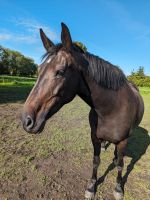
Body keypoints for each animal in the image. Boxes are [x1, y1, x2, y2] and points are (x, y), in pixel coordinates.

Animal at [21, 22, 144, 199]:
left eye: (60, 71)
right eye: (38, 70)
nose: (27, 120)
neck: (111, 109)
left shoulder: (123, 141)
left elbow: (121, 165)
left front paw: (118, 188)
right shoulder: (95, 137)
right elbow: (96, 161)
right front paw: (91, 187)